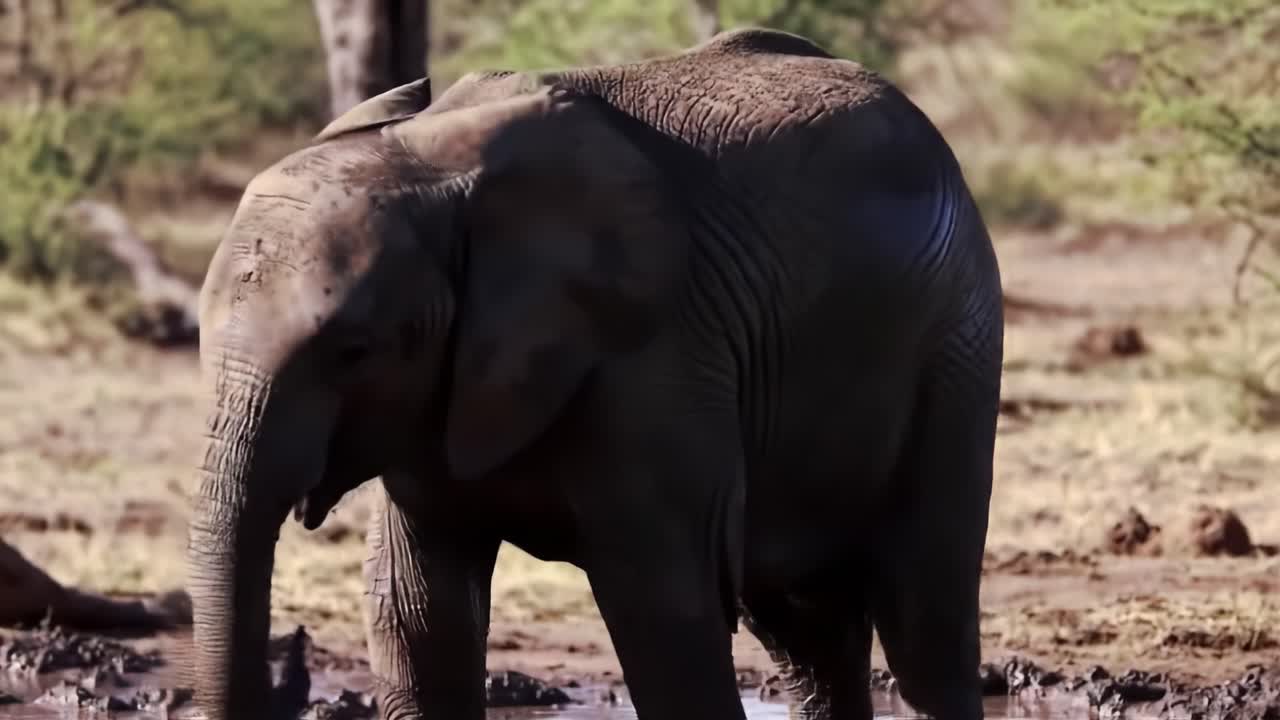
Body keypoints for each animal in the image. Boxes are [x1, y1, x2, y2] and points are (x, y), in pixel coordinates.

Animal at [186, 27, 1003, 720]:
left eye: (354, 350)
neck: (428, 161)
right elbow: (420, 616)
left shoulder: (657, 362)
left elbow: (664, 612)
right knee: (808, 638)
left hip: (957, 342)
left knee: (921, 630)